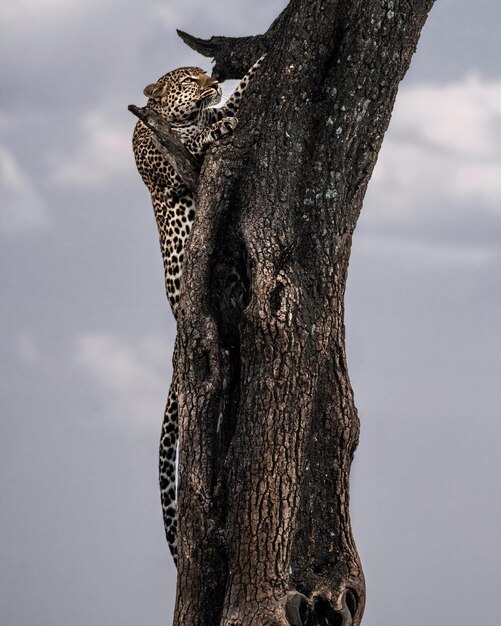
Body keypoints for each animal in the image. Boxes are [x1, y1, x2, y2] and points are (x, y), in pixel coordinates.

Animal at [133, 56, 264, 564]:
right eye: (189, 80)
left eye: (203, 74)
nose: (213, 81)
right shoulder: (170, 164)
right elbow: (194, 140)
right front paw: (219, 124)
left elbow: (230, 103)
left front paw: (253, 68)